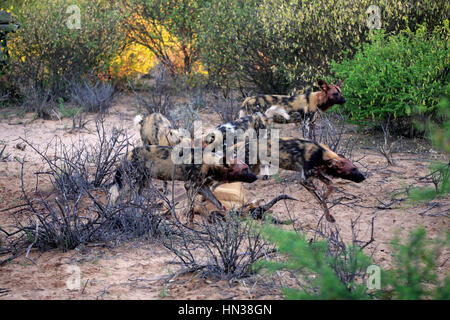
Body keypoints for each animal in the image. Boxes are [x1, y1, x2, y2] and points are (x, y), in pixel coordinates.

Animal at [107, 145, 258, 220]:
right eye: (244, 169)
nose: (256, 177)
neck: (210, 162)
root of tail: (128, 153)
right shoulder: (190, 186)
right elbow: (190, 207)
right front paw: (188, 222)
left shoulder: (202, 187)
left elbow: (218, 203)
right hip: (130, 183)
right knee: (116, 198)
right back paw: (113, 214)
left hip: (141, 183)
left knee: (135, 200)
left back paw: (138, 214)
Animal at [229, 138, 366, 222]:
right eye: (353, 169)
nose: (364, 177)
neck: (321, 155)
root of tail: (243, 143)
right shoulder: (305, 181)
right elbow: (320, 197)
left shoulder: (316, 174)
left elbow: (329, 186)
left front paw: (328, 215)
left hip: (254, 171)